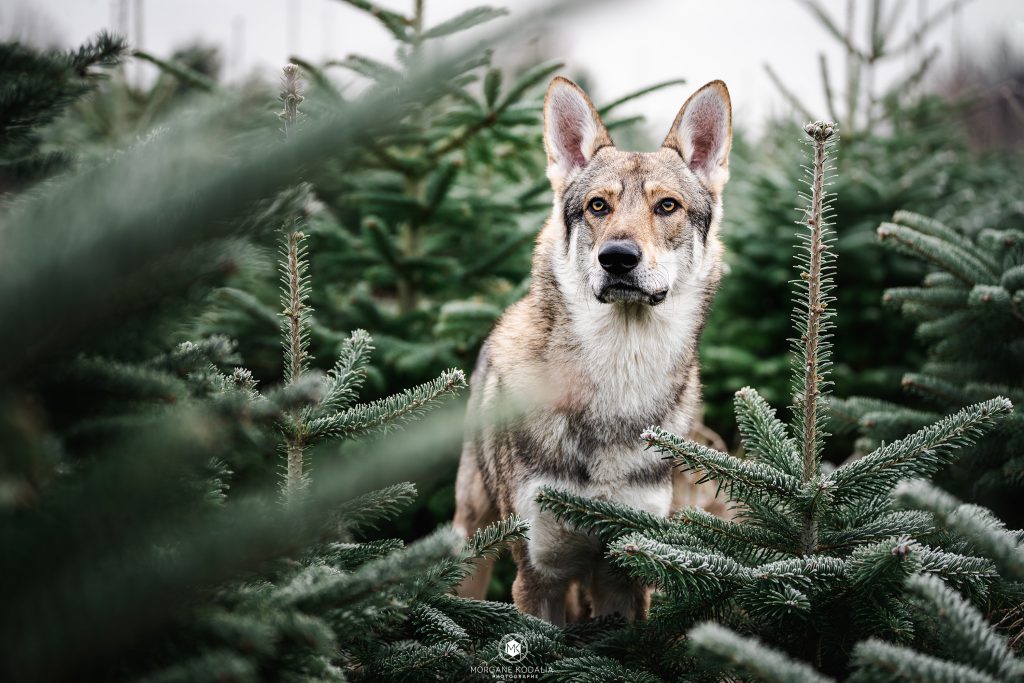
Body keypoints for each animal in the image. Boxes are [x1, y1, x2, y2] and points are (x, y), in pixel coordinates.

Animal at [453, 76, 732, 624]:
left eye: (667, 206)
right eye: (598, 206)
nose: (617, 258)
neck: (617, 387)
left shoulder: (626, 573)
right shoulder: (538, 574)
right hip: (474, 538)